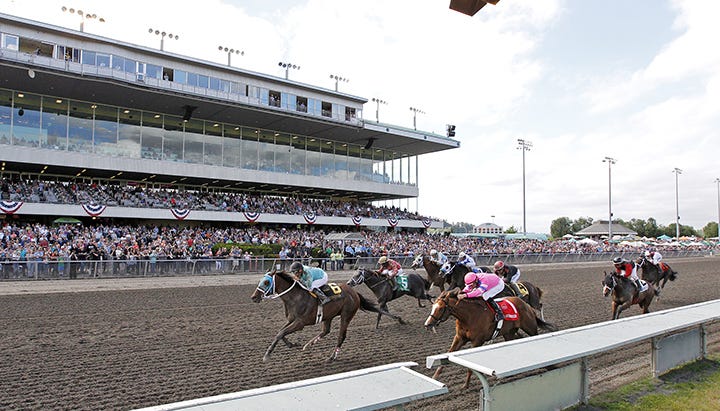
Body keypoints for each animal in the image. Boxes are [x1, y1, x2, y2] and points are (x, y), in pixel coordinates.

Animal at [250, 269, 387, 362]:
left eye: (266, 282)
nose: (253, 297)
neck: (295, 298)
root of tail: (354, 292)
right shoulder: (291, 320)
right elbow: (280, 332)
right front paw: (292, 344)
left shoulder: (300, 323)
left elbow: (281, 333)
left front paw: (267, 355)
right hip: (329, 315)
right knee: (326, 330)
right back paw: (308, 345)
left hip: (346, 315)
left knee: (341, 336)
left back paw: (332, 357)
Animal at [424, 289, 557, 388]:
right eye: (433, 306)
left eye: (441, 308)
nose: (427, 324)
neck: (468, 316)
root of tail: (526, 305)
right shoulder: (459, 338)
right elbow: (448, 354)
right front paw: (434, 378)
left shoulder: (477, 341)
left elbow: (470, 367)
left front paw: (465, 385)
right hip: (508, 333)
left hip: (530, 328)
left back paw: (550, 365)